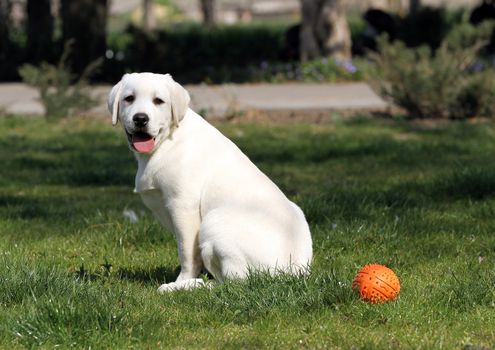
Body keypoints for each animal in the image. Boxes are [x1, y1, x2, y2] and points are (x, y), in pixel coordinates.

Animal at [107, 72, 314, 292]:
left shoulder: (183, 206)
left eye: (158, 101)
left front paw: (181, 280)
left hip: (214, 221)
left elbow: (187, 253)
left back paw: (185, 286)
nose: (140, 118)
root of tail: (291, 273)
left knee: (234, 283)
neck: (167, 141)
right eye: (129, 98)